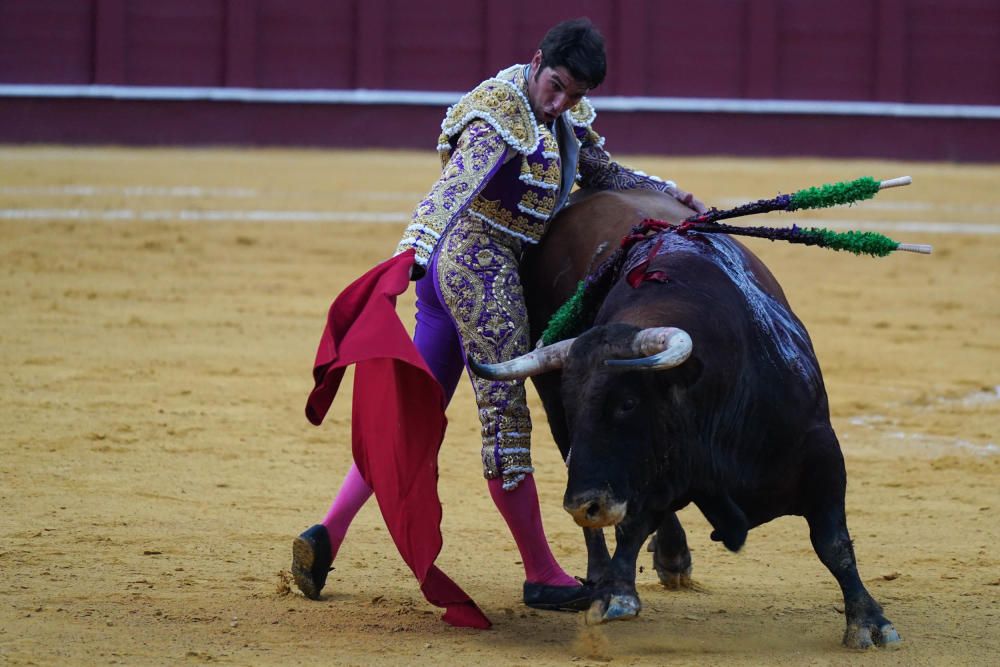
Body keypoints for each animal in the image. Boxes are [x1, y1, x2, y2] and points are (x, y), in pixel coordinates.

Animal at [472, 189, 904, 652]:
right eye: (573, 405)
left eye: (627, 403)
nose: (585, 505)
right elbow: (632, 525)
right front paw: (614, 593)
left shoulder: (823, 454)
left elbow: (833, 543)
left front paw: (870, 622)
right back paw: (613, 571)